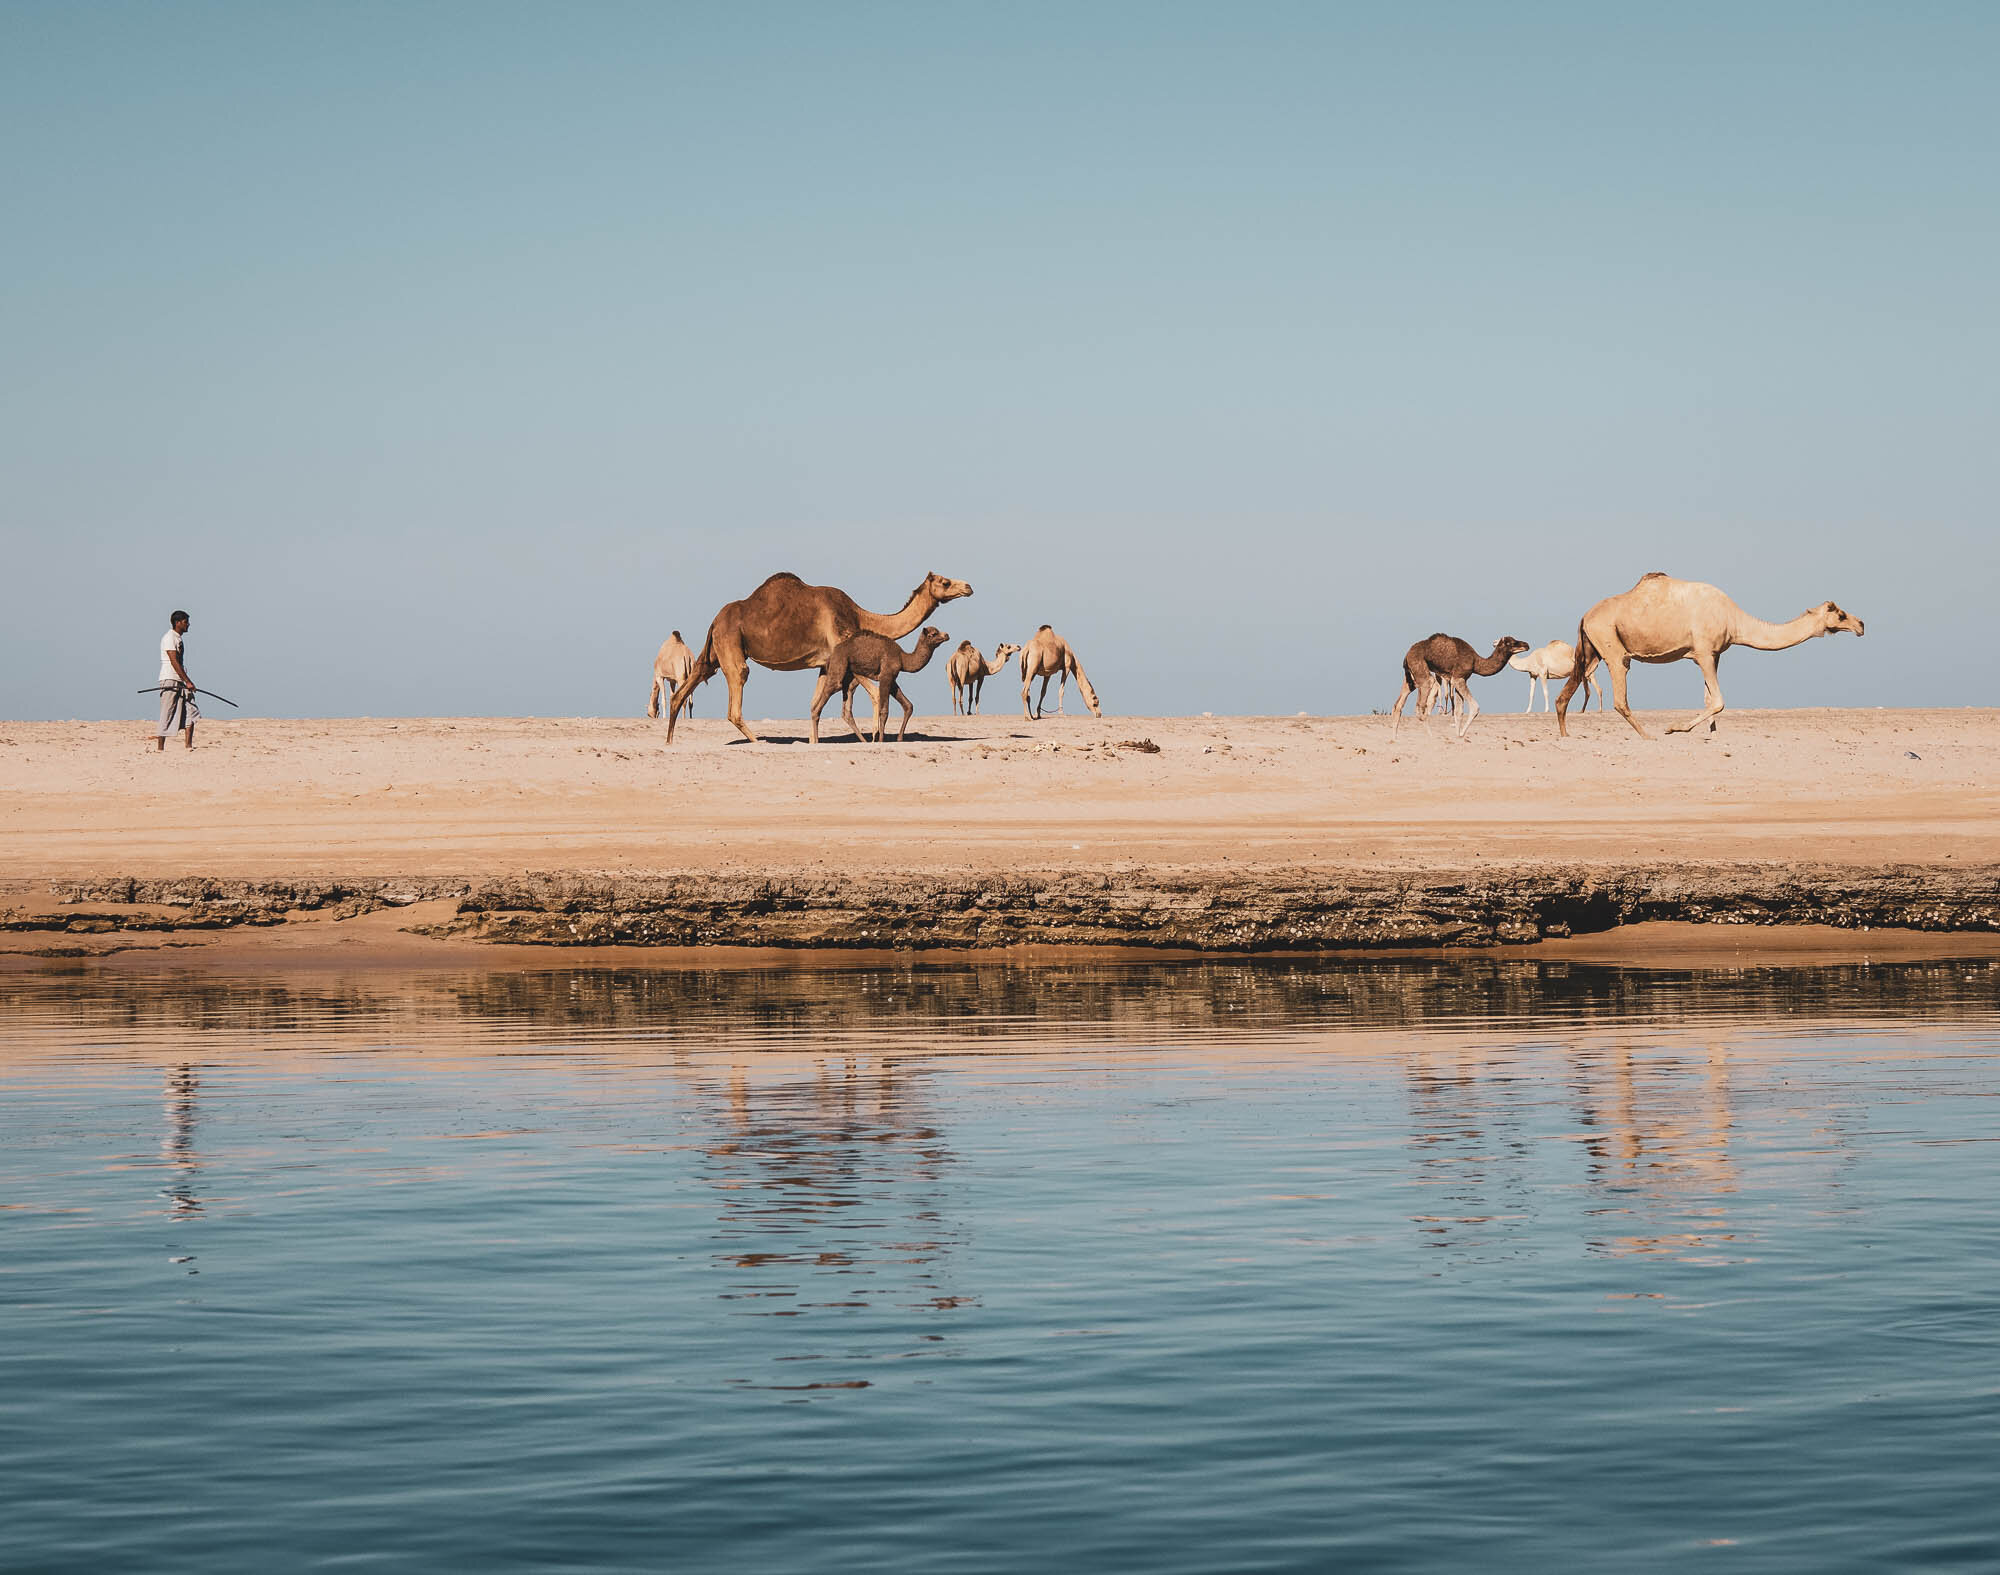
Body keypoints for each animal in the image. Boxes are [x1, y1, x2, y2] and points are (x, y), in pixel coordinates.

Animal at [808, 623, 948, 739]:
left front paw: (899, 739)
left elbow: (908, 705)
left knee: (845, 707)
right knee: (822, 702)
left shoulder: (892, 678)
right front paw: (881, 740)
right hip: (839, 664)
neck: (903, 658)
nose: (946, 635)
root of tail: (832, 655)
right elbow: (884, 711)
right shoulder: (886, 675)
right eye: (933, 634)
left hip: (848, 675)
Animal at [1392, 635, 1528, 739]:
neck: (1476, 662)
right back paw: (1431, 737)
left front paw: (1457, 734)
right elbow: (1474, 707)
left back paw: (1395, 738)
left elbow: (1458, 712)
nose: (1526, 644)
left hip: (1410, 678)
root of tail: (1407, 655)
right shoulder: (1459, 678)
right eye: (1510, 643)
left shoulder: (1459, 680)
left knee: (1398, 705)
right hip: (1421, 670)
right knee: (1421, 707)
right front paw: (1461, 734)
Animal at [1552, 571, 1864, 739]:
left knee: (1567, 690)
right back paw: (1648, 735)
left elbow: (1708, 698)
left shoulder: (1714, 655)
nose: (1861, 624)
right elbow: (1719, 701)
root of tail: (1585, 616)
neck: (1734, 619)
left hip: (1591, 649)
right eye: (1840, 613)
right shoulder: (1703, 653)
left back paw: (1566, 734)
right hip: (1611, 645)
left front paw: (1712, 736)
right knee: (1620, 694)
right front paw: (1674, 728)